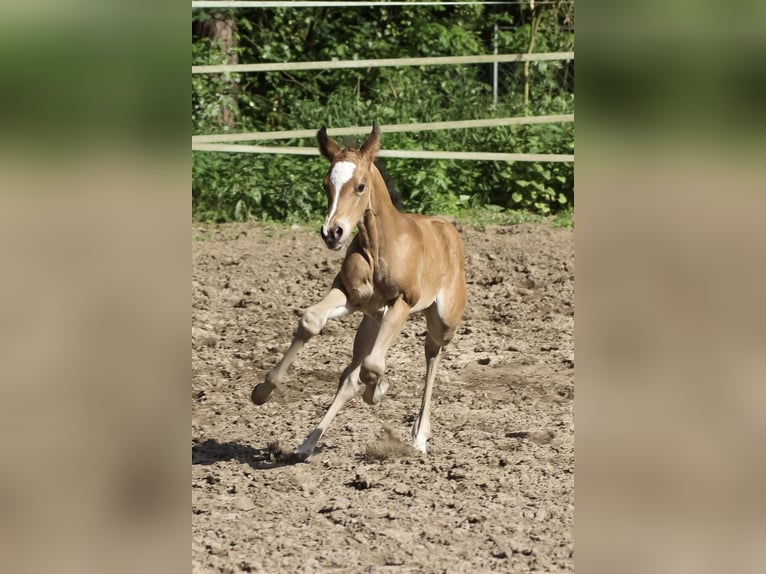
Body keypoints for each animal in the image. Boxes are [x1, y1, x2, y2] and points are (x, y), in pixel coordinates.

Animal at [251, 123, 466, 461]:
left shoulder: (402, 303)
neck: (379, 247)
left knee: (432, 352)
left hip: (441, 319)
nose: (332, 232)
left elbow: (373, 366)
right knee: (349, 376)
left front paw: (380, 390)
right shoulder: (350, 296)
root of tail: (447, 229)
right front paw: (262, 391)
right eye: (326, 184)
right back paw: (306, 445)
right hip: (371, 322)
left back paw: (419, 437)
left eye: (361, 186)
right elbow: (312, 321)